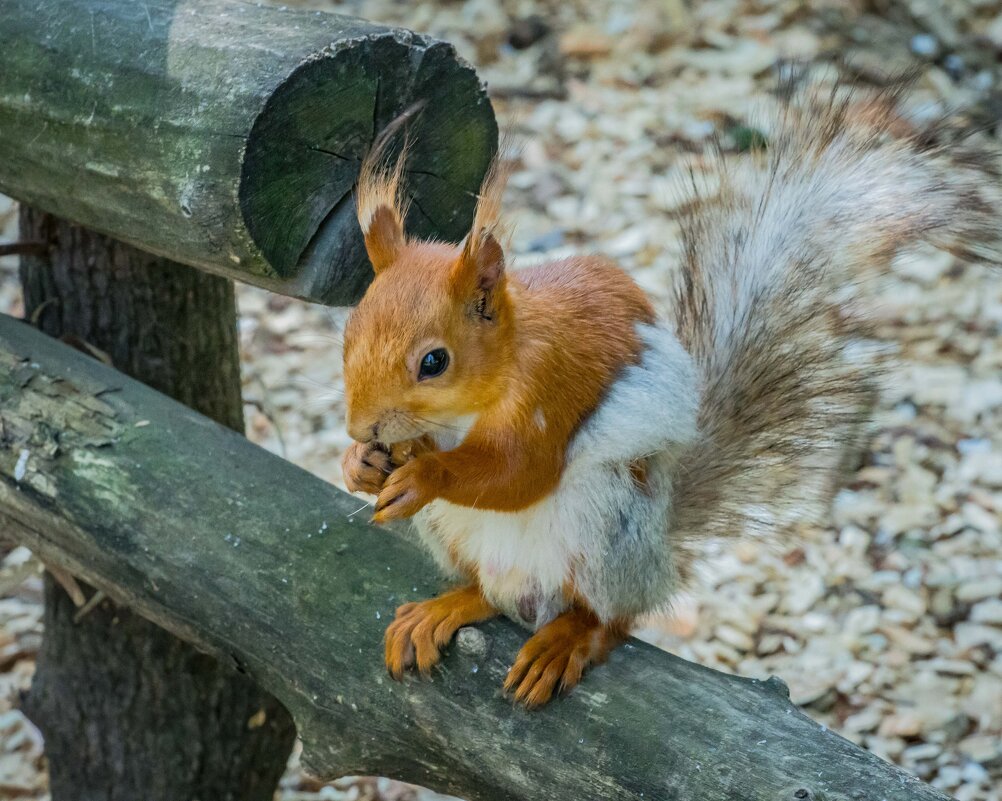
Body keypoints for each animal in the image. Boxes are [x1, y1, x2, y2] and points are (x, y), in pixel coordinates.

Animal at [340, 81, 1002, 708]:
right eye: (348, 330)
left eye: (434, 362)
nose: (359, 428)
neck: (472, 403)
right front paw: (363, 464)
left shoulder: (549, 384)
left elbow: (520, 473)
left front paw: (426, 473)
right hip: (455, 537)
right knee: (489, 594)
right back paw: (446, 607)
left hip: (609, 527)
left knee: (611, 617)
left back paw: (568, 637)